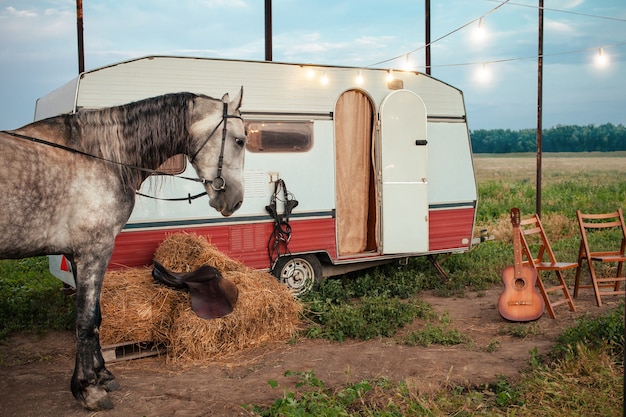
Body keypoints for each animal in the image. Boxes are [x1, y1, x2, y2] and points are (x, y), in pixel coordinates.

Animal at [0, 88, 245, 410]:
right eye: (240, 140)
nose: (236, 200)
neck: (100, 157)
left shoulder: (78, 256)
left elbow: (95, 318)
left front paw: (102, 375)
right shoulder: (94, 251)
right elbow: (86, 321)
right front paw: (88, 389)